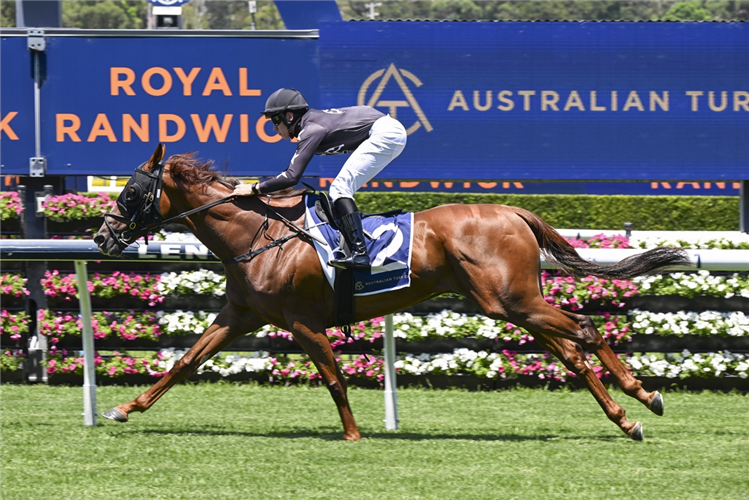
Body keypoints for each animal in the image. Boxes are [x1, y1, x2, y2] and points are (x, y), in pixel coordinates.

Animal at [94, 144, 690, 441]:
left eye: (130, 192)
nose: (101, 236)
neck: (258, 236)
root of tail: (512, 209)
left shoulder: (302, 321)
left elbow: (333, 378)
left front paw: (354, 436)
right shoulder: (239, 315)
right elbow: (182, 364)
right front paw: (124, 409)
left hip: (510, 301)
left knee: (585, 330)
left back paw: (643, 398)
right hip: (513, 305)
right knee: (571, 351)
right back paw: (627, 415)